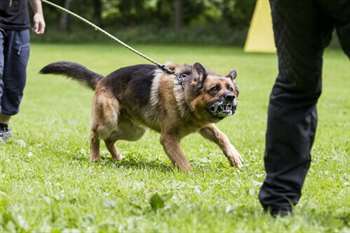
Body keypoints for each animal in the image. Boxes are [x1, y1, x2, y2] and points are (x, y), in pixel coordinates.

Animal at [41, 62, 242, 171]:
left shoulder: (204, 125)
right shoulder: (168, 138)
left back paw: (117, 157)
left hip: (135, 132)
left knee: (110, 139)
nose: (230, 98)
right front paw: (190, 175)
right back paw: (95, 157)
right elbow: (182, 160)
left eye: (231, 89)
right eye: (214, 89)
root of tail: (103, 79)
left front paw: (234, 157)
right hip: (108, 120)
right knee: (94, 135)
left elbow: (222, 136)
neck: (184, 93)